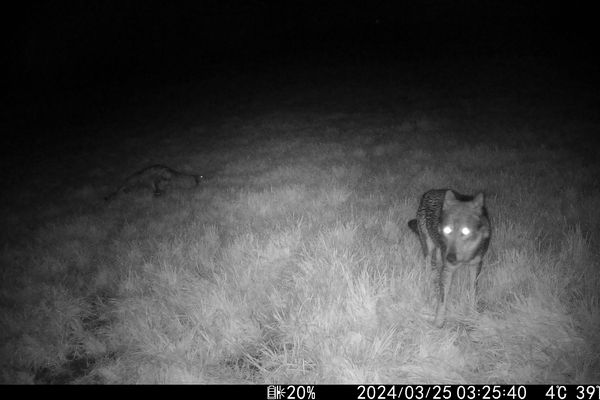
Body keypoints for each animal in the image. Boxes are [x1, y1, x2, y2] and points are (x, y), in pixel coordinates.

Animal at [410, 191, 490, 328]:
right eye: (447, 230)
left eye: (465, 231)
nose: (450, 257)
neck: (465, 257)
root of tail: (430, 192)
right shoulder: (448, 268)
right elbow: (442, 300)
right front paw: (438, 323)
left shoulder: (476, 265)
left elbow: (473, 291)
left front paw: (473, 314)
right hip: (428, 247)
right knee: (428, 264)